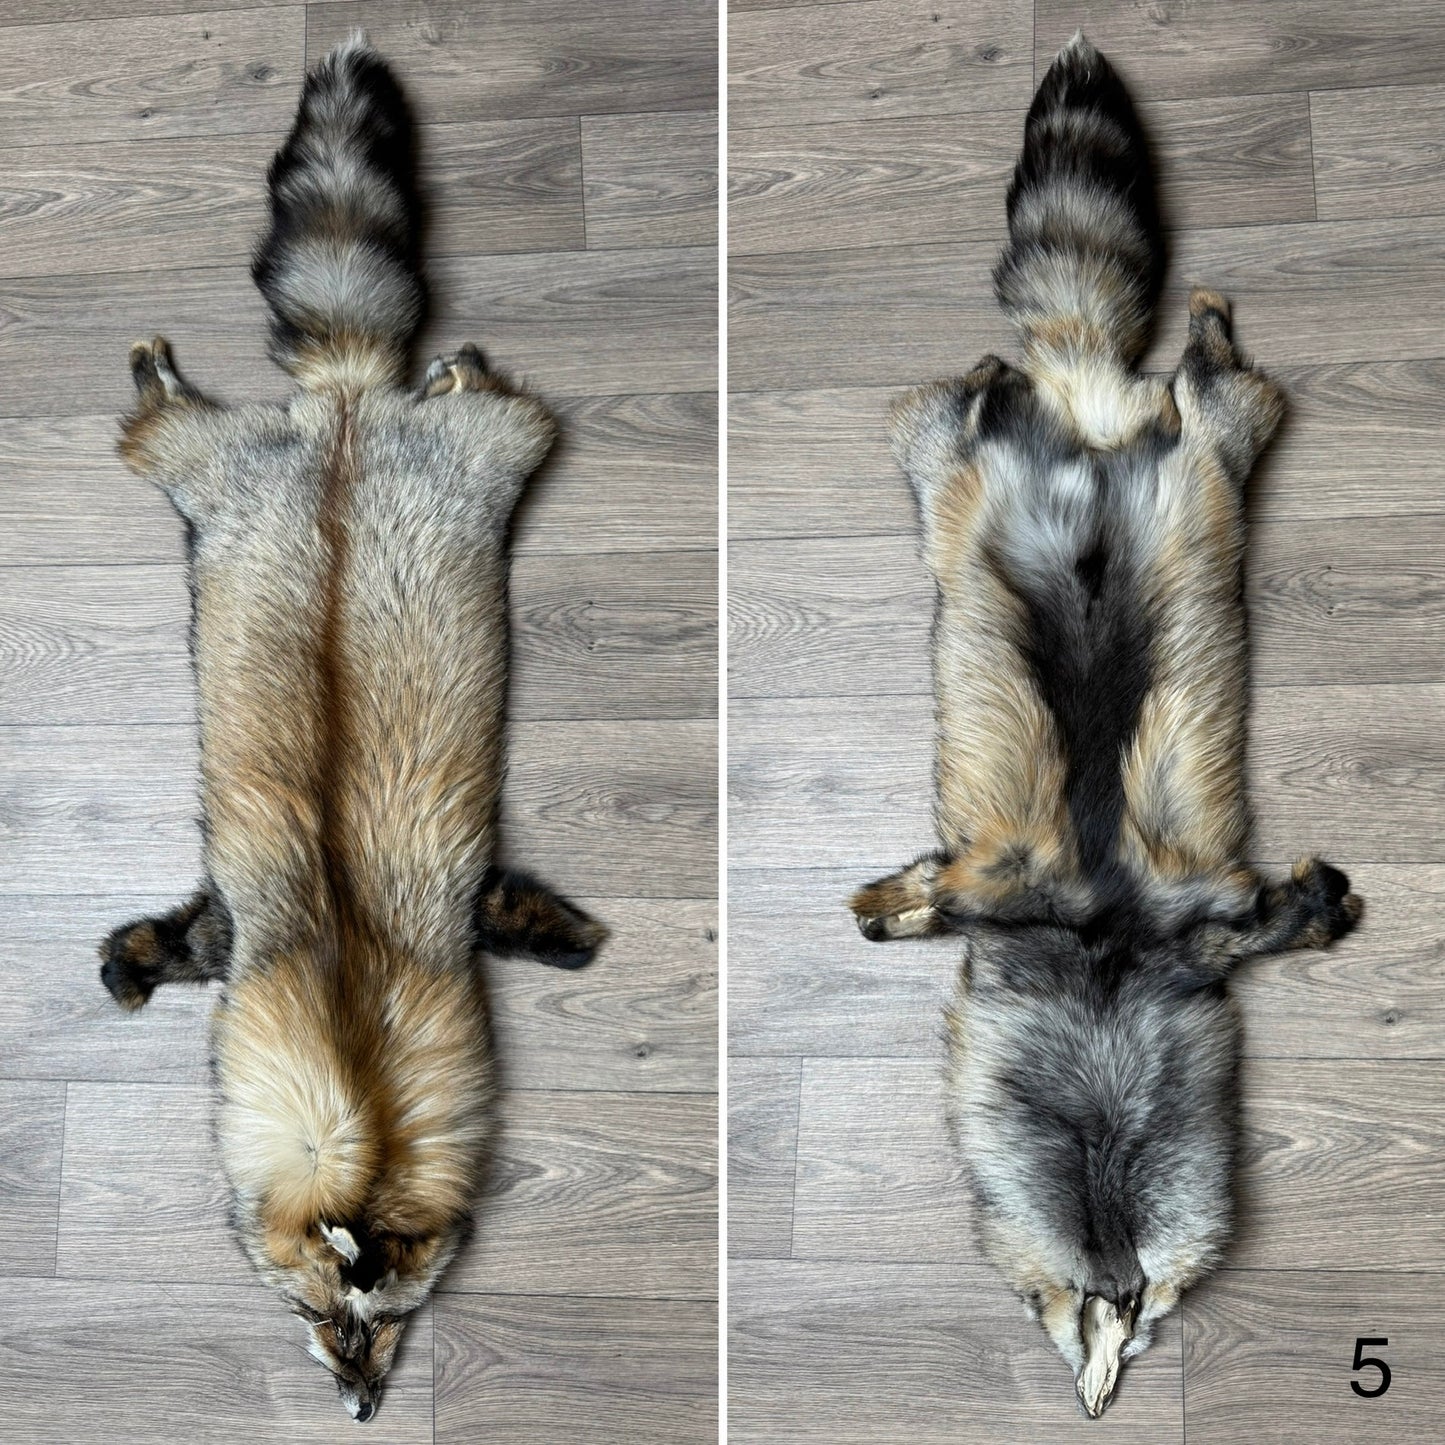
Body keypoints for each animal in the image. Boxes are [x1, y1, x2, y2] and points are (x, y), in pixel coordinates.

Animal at [97, 36, 606, 1422]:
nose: (364, 1407)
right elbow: (175, 935)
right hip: (219, 472)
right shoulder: (245, 923)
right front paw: (128, 964)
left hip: (455, 456)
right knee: (169, 420)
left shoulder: (409, 917)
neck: (351, 1049)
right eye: (325, 1318)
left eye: (386, 1319)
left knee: (489, 398)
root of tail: (342, 407)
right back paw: (169, 368)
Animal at [849, 34, 1361, 1417]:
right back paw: (1060, 361)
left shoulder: (1187, 920)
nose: (1106, 1365)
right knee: (1087, 389)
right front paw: (883, 904)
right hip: (972, 459)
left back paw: (1152, 339)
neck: (1104, 966)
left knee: (1202, 383)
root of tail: (1083, 397)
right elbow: (929, 899)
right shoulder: (1017, 889)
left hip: (1198, 452)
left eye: (1146, 1321)